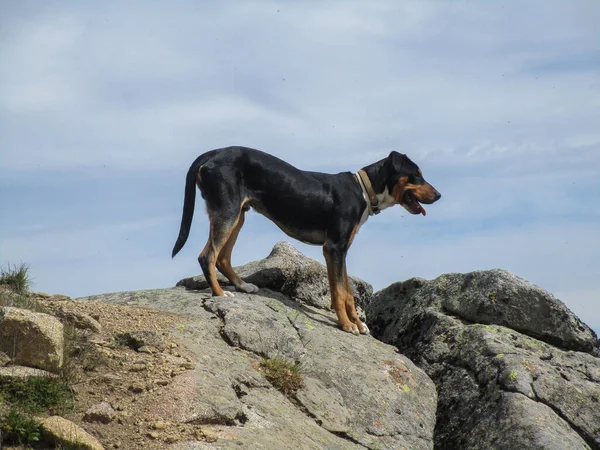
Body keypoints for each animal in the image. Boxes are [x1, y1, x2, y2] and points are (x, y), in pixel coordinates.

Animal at [173, 147, 440, 334]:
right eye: (416, 175)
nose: (438, 195)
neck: (364, 190)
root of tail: (213, 152)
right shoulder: (333, 248)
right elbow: (338, 292)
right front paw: (346, 325)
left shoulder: (342, 250)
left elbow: (347, 292)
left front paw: (357, 323)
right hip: (226, 212)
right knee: (207, 256)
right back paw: (220, 293)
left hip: (238, 215)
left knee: (223, 257)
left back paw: (242, 286)